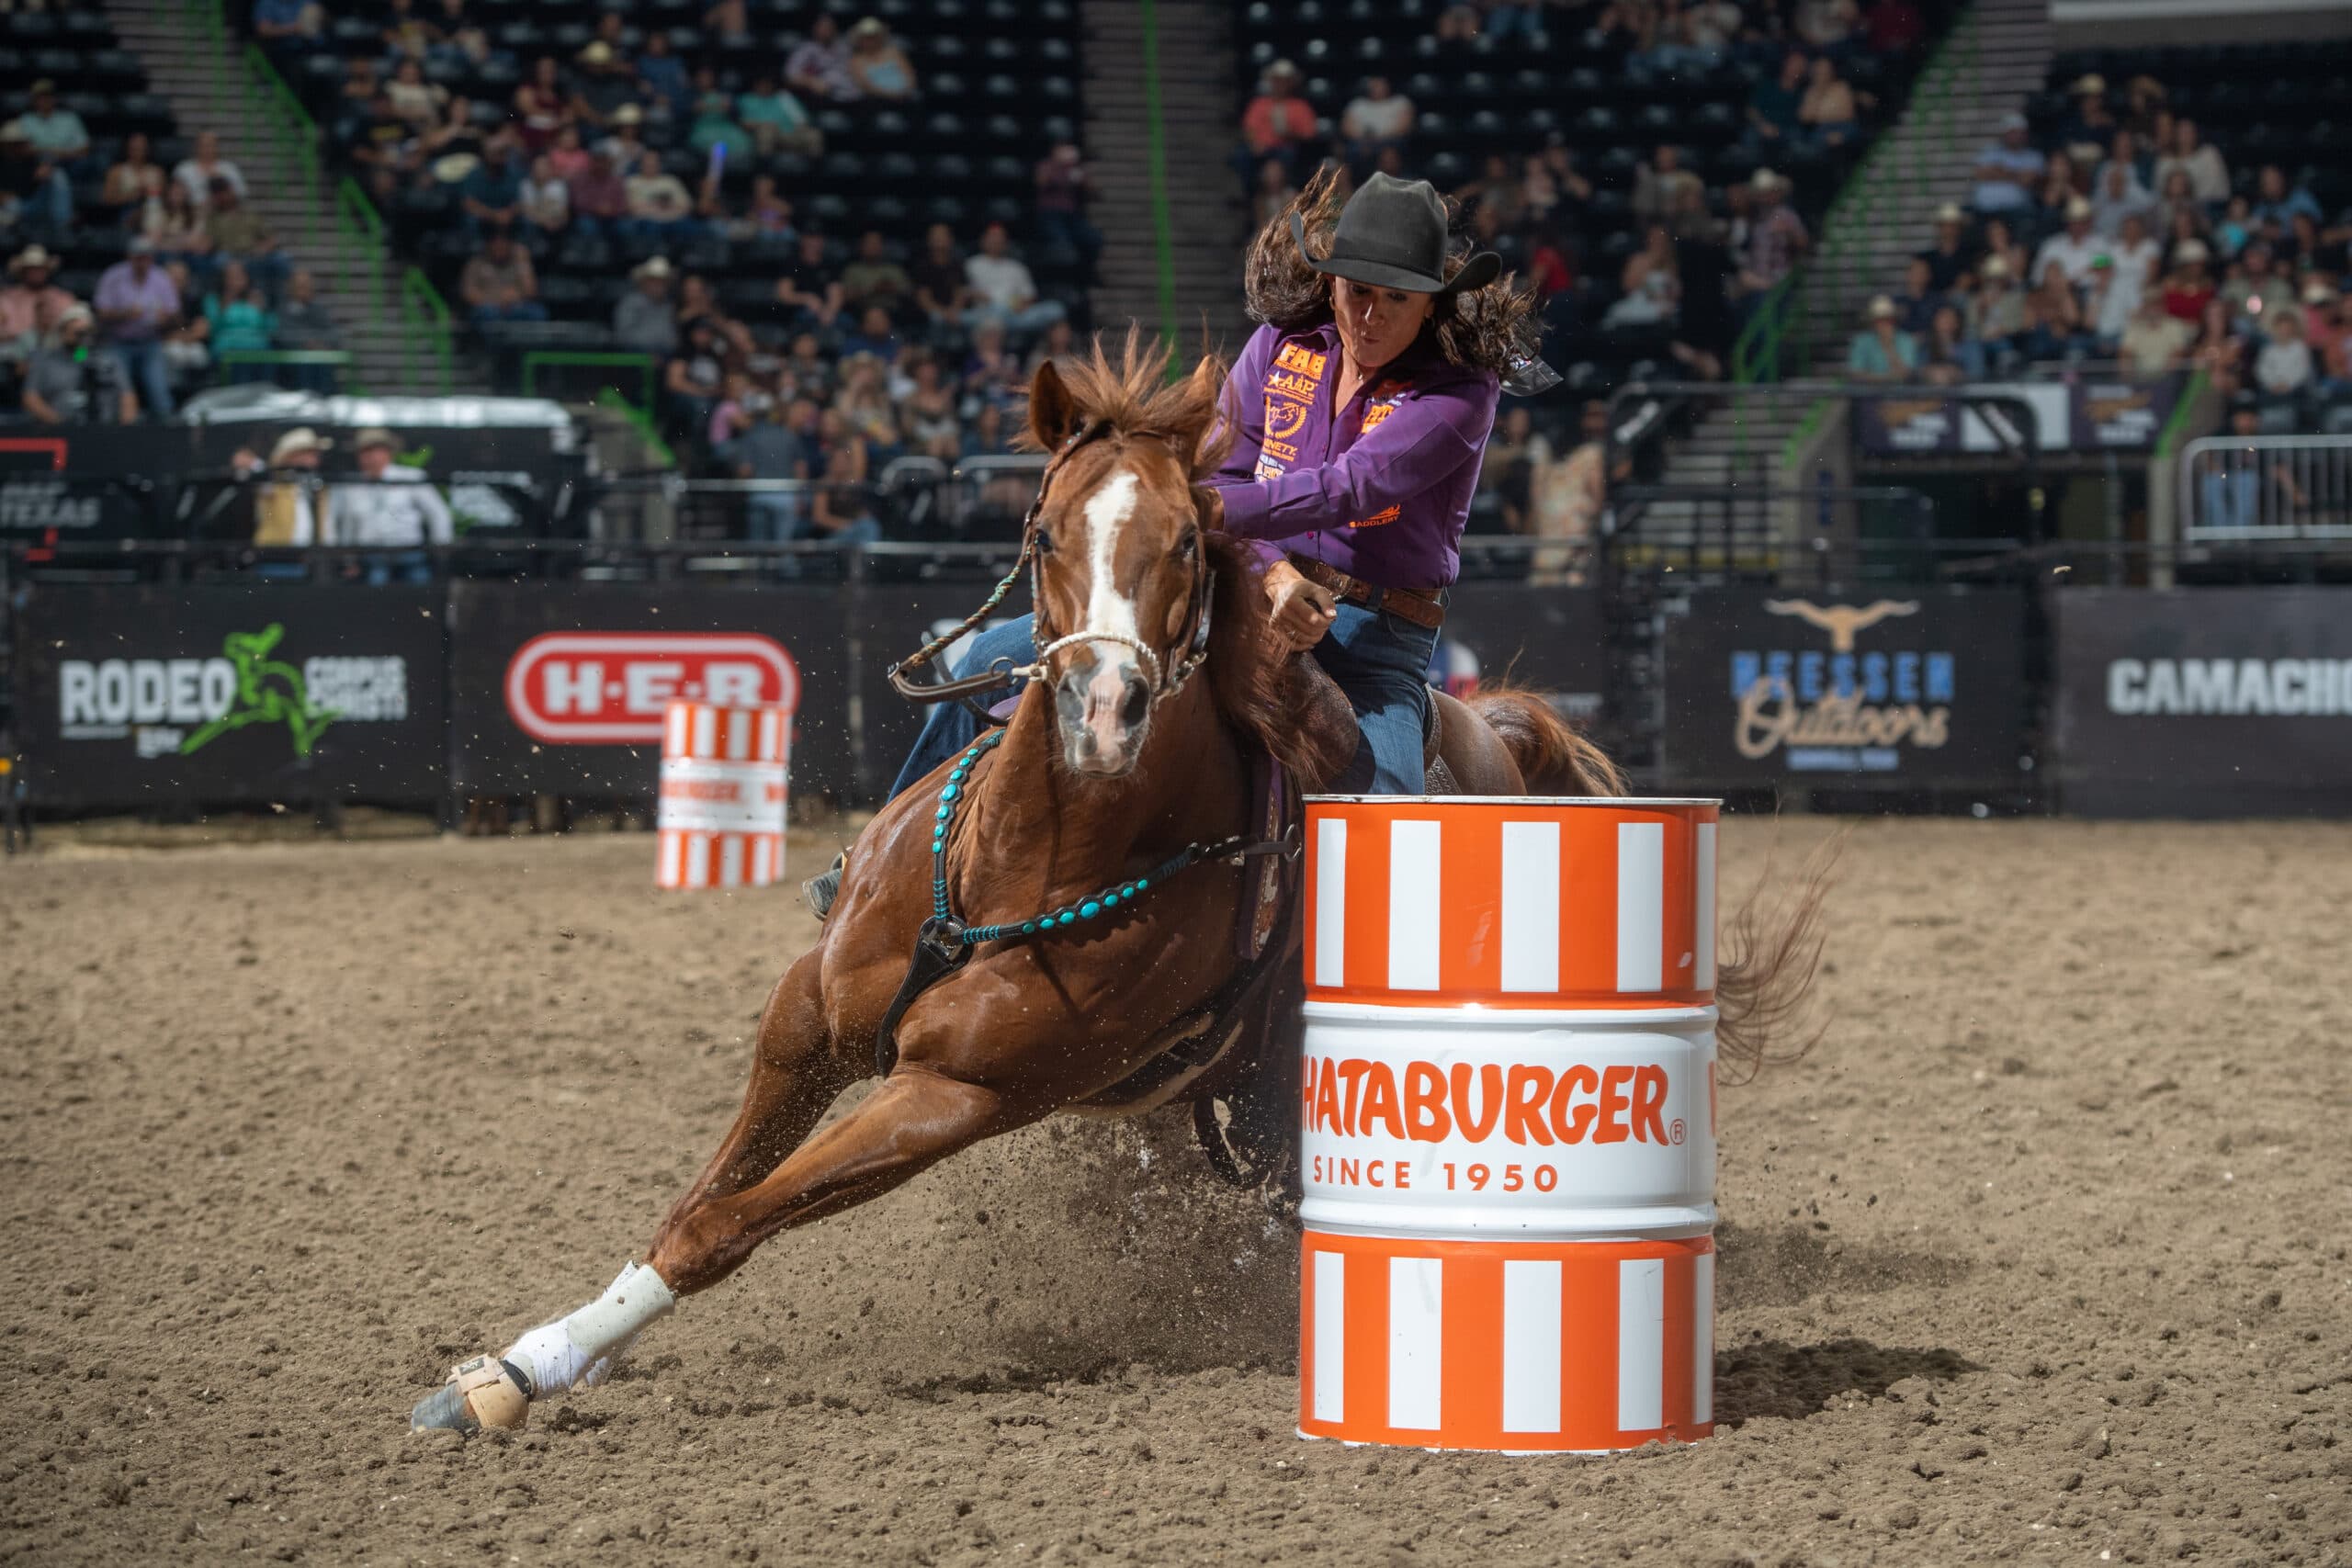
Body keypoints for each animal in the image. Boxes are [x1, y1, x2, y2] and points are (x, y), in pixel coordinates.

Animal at [410, 334, 1825, 1432]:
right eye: (1044, 531)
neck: (1026, 855)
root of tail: (1501, 734)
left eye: (1191, 543)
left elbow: (728, 1225)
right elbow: (701, 1198)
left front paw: (521, 1380)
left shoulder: (954, 1096)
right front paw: (529, 1357)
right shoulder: (806, 1021)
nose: (1102, 710)